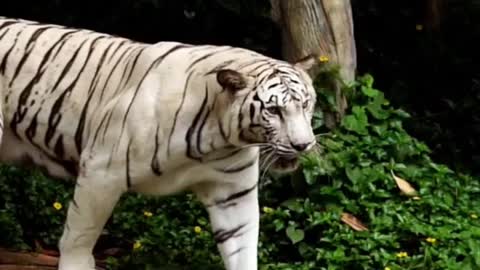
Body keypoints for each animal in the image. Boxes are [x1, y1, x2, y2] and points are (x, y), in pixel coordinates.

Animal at [0, 17, 318, 270]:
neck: (219, 140)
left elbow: (242, 248)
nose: (303, 144)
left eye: (306, 104)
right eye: (274, 111)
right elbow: (78, 237)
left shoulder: (233, 193)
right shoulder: (101, 172)